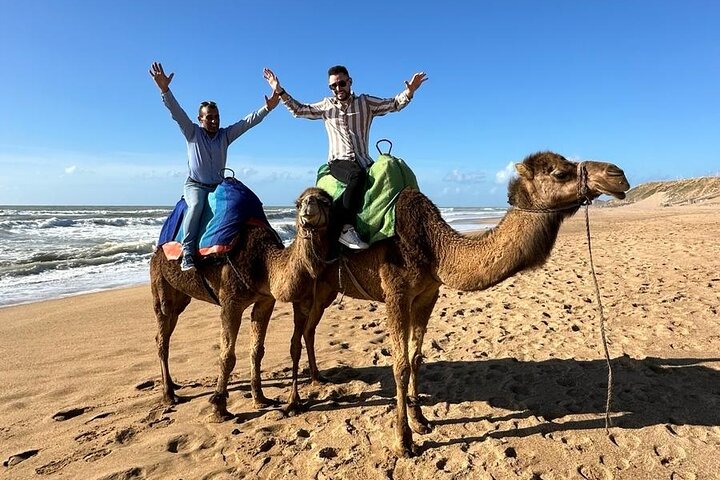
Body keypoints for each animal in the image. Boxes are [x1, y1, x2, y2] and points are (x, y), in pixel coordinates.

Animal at [150, 187, 333, 421]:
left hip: (181, 298)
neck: (264, 263)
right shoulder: (231, 302)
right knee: (162, 334)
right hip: (160, 285)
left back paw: (172, 385)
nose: (309, 204)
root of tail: (157, 249)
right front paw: (219, 407)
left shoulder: (265, 301)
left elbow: (257, 350)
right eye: (298, 203)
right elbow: (227, 356)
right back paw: (169, 395)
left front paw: (260, 398)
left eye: (326, 201)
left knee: (165, 332)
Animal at [288, 151, 630, 456]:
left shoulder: (426, 294)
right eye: (560, 173)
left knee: (309, 331)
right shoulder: (396, 294)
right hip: (305, 283)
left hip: (325, 289)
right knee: (297, 336)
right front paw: (403, 442)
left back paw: (317, 378)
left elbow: (416, 358)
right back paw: (293, 403)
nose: (617, 174)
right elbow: (399, 365)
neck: (434, 247)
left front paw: (421, 421)